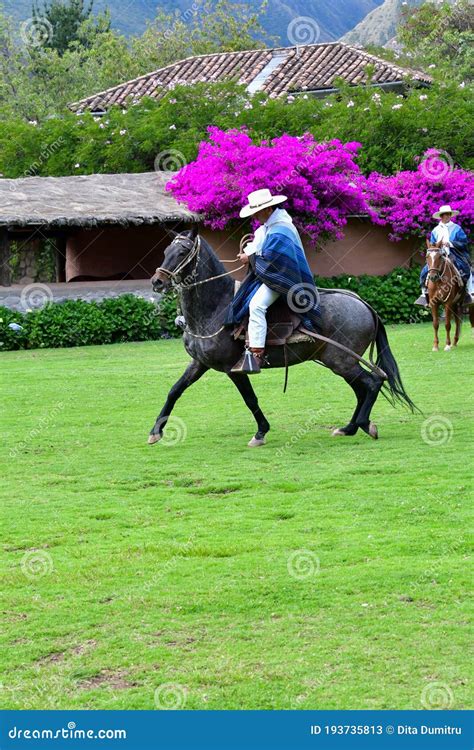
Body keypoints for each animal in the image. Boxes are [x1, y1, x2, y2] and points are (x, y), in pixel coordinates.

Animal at [149, 228, 416, 447]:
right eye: (166, 251)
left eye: (182, 251)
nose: (157, 281)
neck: (217, 307)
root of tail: (364, 305)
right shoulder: (199, 363)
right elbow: (174, 390)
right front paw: (155, 432)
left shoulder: (232, 367)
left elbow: (250, 399)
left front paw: (261, 433)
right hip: (340, 361)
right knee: (364, 388)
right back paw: (349, 427)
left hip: (342, 360)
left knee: (372, 382)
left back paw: (361, 425)